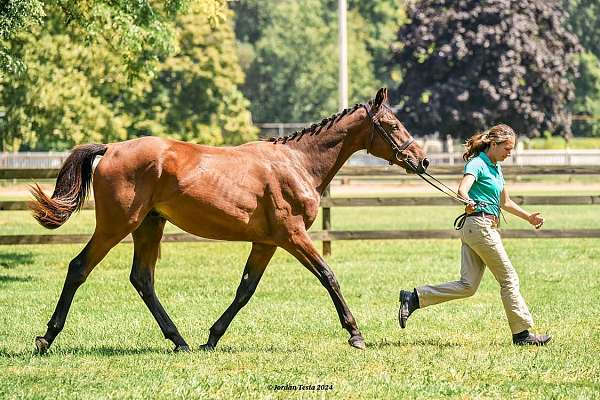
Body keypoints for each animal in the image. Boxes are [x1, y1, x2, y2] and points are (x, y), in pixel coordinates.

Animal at [30, 87, 428, 354]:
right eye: (392, 124)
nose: (422, 160)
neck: (298, 162)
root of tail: (111, 148)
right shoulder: (292, 236)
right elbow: (328, 276)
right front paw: (355, 334)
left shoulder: (266, 243)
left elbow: (245, 290)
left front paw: (212, 338)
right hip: (116, 226)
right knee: (79, 267)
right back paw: (46, 338)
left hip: (149, 225)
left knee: (142, 279)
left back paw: (180, 341)